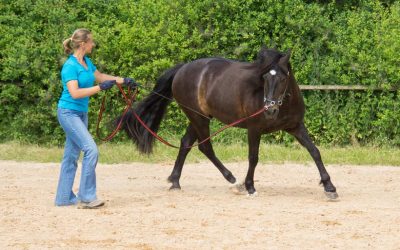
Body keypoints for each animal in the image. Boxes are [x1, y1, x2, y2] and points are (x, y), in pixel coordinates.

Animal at [121, 47, 338, 198]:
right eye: (265, 77)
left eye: (284, 78)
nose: (269, 110)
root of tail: (182, 68)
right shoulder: (254, 129)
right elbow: (253, 158)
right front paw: (249, 186)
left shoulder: (296, 127)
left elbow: (315, 151)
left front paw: (329, 187)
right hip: (199, 118)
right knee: (205, 147)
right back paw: (232, 179)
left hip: (198, 117)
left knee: (186, 144)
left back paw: (175, 181)